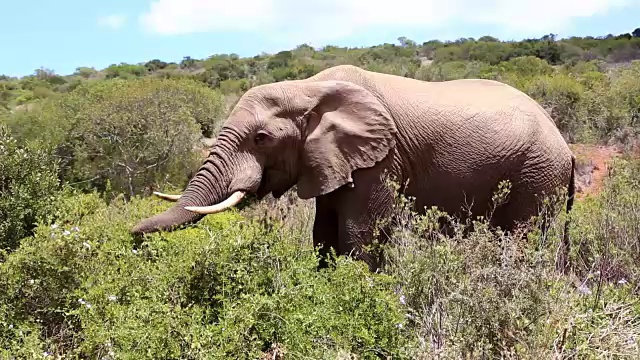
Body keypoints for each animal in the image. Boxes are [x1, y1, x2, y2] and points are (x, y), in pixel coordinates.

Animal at [130, 64, 576, 272]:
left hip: (537, 173)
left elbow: (358, 233)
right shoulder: (330, 159)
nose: (131, 238)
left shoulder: (381, 158)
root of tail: (568, 149)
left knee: (521, 239)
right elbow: (323, 232)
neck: (307, 87)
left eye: (261, 139)